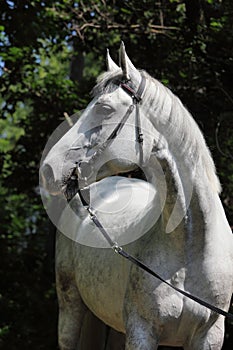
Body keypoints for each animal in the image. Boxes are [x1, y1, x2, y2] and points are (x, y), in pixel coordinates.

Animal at [40, 42, 233, 348]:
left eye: (105, 108)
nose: (48, 169)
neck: (192, 246)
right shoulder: (141, 331)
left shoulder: (210, 336)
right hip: (71, 307)